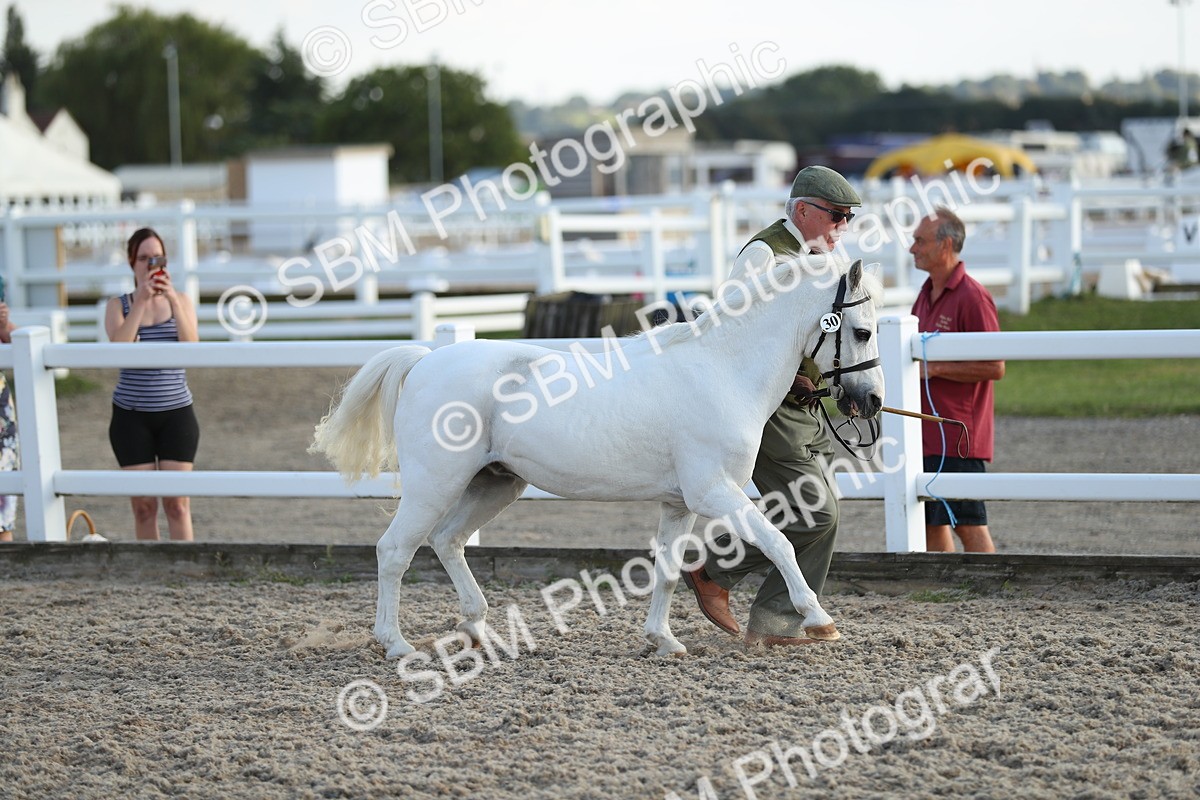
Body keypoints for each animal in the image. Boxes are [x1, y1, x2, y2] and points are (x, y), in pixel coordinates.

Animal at [311, 257, 884, 658]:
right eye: (862, 330)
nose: (873, 401)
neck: (722, 370)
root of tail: (425, 360)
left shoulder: (680, 503)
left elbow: (669, 570)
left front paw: (663, 640)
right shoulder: (714, 492)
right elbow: (779, 544)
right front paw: (820, 621)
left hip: (494, 483)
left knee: (447, 541)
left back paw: (477, 630)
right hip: (435, 484)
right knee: (395, 551)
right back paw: (396, 644)